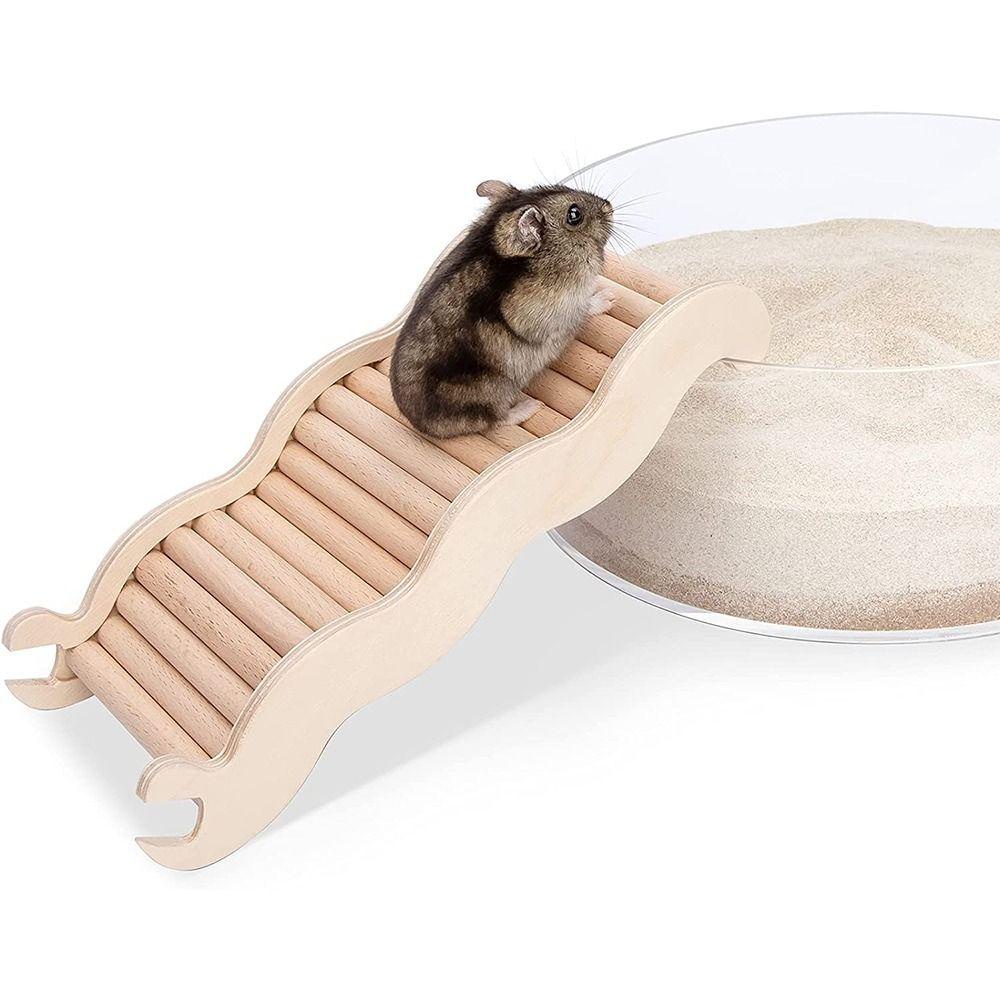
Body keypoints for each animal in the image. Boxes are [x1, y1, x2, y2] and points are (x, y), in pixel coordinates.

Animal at [390, 180, 615, 439]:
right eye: (574, 215)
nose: (610, 206)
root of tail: (418, 425)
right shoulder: (550, 313)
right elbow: (584, 307)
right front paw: (610, 297)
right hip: (493, 390)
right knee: (496, 420)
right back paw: (532, 406)